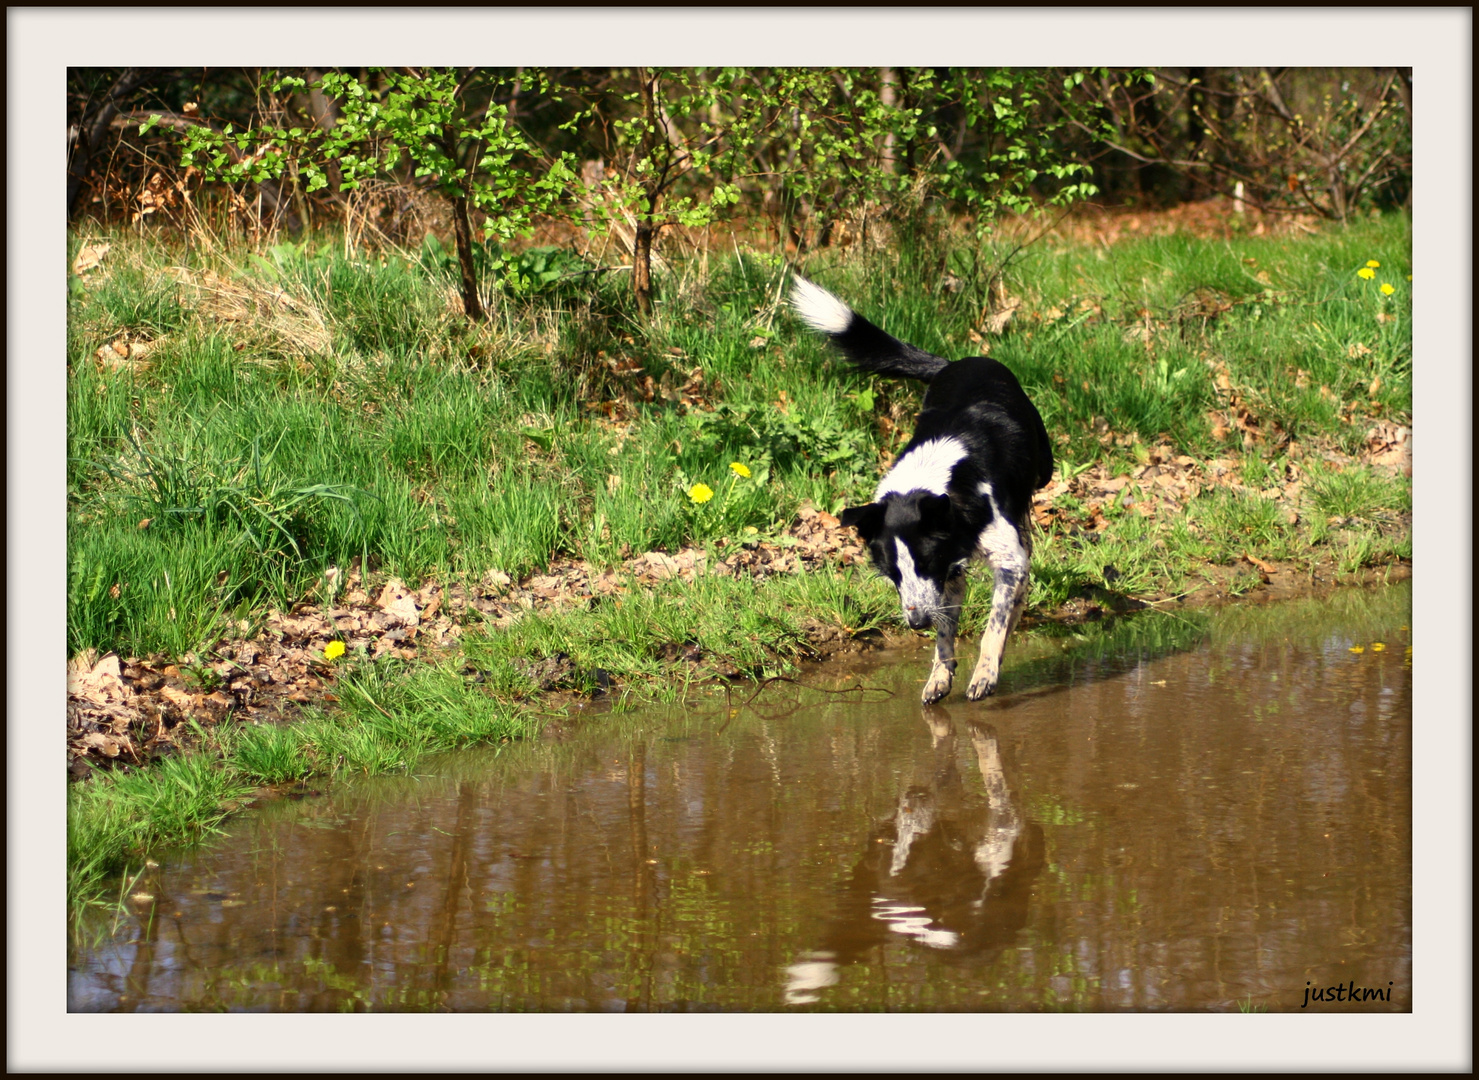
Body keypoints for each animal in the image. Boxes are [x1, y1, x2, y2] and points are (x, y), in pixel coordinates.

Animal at [792, 273, 1058, 701]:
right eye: (892, 573)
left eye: (925, 562)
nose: (916, 625)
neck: (937, 480)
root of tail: (956, 361)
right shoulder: (948, 574)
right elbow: (946, 631)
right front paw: (940, 676)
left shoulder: (998, 558)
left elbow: (993, 625)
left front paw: (984, 674)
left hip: (1041, 472)